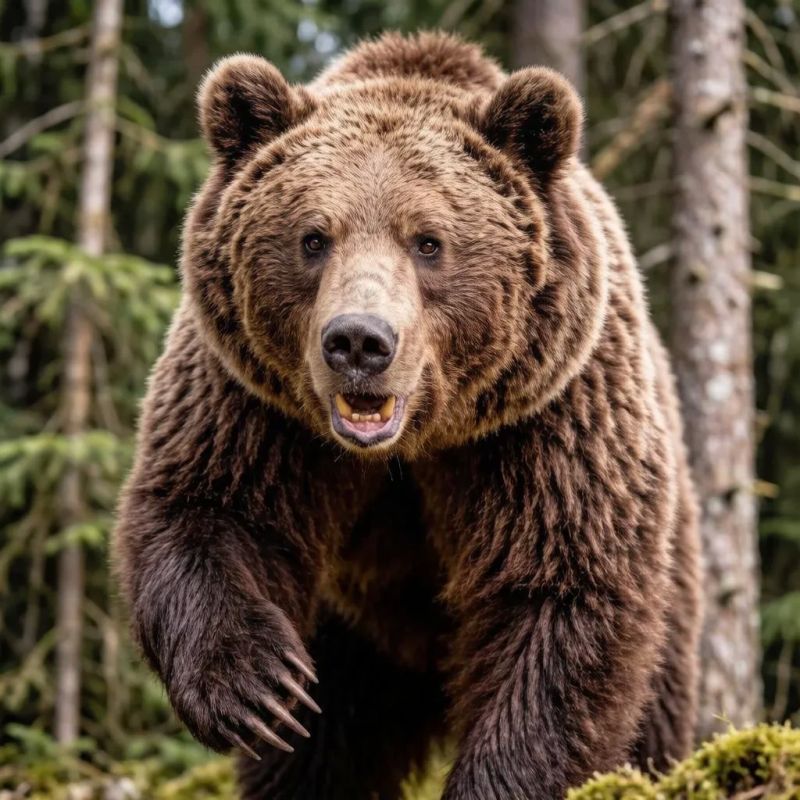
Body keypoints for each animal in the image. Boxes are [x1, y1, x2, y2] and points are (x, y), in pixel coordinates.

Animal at [114, 31, 702, 800]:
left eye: (428, 240)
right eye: (313, 237)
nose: (359, 342)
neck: (413, 445)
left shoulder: (552, 421)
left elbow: (559, 599)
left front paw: (497, 779)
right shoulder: (251, 403)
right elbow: (204, 503)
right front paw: (258, 689)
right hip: (351, 638)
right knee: (321, 752)